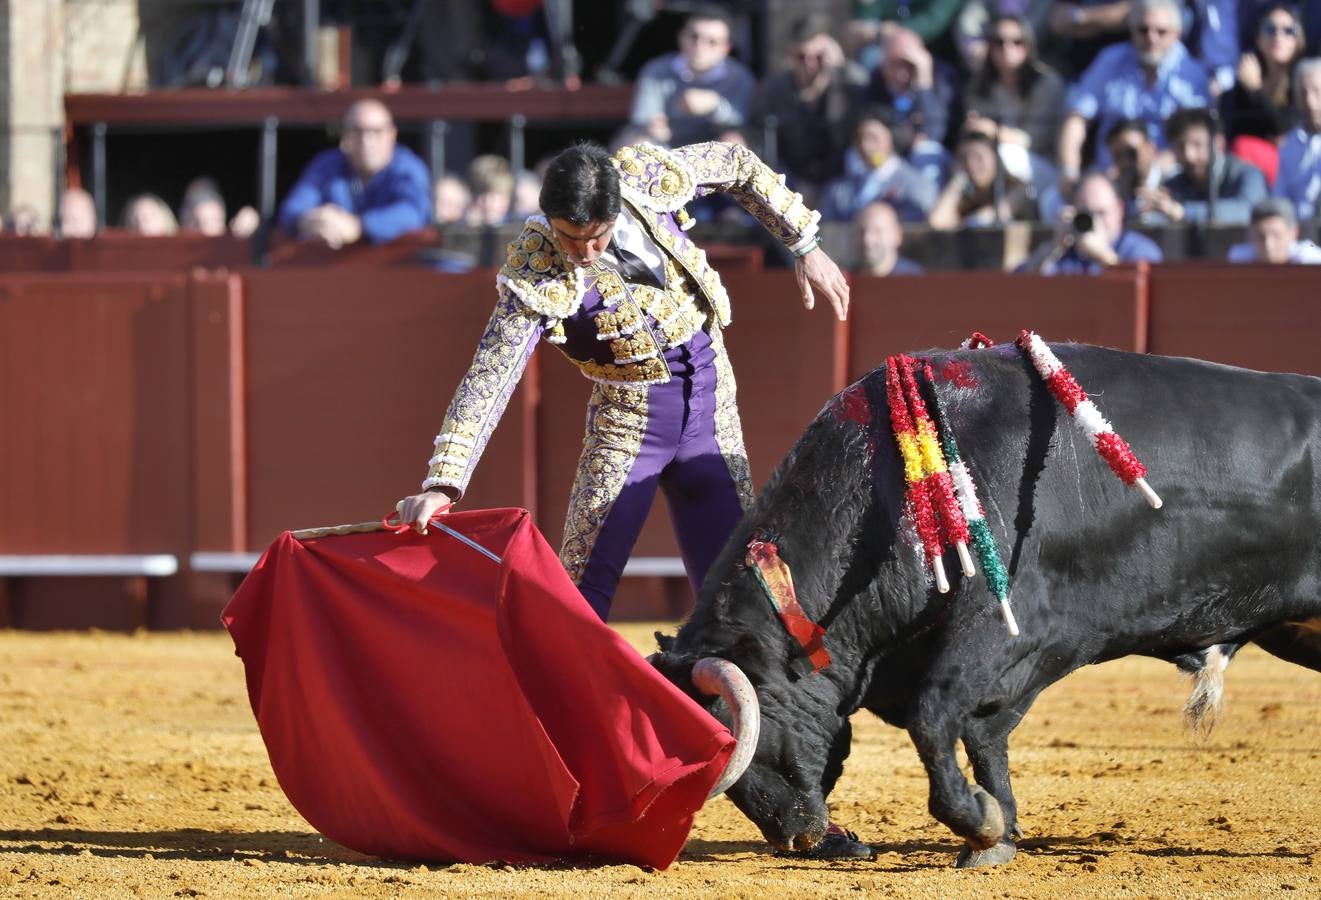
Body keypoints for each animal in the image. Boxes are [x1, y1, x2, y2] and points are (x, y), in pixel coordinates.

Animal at [649, 340, 1321, 861]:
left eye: (737, 727)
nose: (798, 837)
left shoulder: (1002, 635)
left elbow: (936, 719)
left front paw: (980, 823)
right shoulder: (1005, 666)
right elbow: (982, 735)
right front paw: (999, 834)